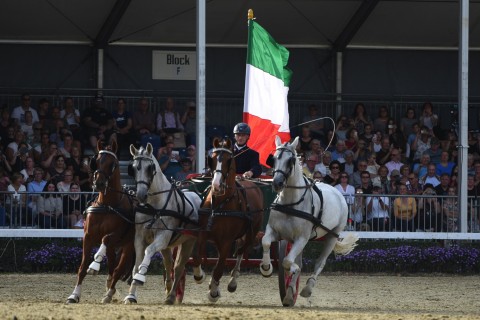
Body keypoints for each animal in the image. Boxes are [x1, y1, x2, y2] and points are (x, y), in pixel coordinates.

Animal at [66, 141, 135, 304]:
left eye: (113, 164)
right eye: (95, 161)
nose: (99, 183)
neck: (106, 205)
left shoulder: (115, 235)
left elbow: (105, 239)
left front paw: (95, 265)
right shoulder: (88, 236)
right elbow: (82, 267)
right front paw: (74, 295)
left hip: (129, 245)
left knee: (118, 270)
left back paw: (113, 294)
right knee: (112, 268)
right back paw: (110, 289)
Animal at [124, 143, 202, 304]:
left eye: (150, 168)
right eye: (133, 168)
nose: (141, 195)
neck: (154, 206)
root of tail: (196, 196)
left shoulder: (163, 237)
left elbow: (148, 253)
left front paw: (140, 277)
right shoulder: (139, 238)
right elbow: (136, 265)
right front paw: (131, 295)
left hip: (189, 240)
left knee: (179, 267)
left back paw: (172, 296)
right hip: (169, 246)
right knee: (169, 265)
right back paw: (168, 291)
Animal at [191, 138, 264, 302]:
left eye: (228, 160)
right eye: (211, 159)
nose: (216, 185)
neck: (219, 204)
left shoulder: (227, 241)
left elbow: (219, 268)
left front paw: (213, 292)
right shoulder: (203, 233)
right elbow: (197, 256)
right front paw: (200, 276)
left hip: (251, 234)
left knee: (241, 252)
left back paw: (232, 282)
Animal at [258, 135, 356, 304]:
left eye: (291, 160)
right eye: (274, 159)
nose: (277, 183)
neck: (290, 204)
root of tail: (336, 191)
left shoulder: (301, 238)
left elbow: (287, 262)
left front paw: (292, 273)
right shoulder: (276, 233)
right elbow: (265, 242)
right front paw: (266, 268)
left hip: (331, 236)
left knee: (319, 262)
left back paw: (307, 288)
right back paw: (290, 292)